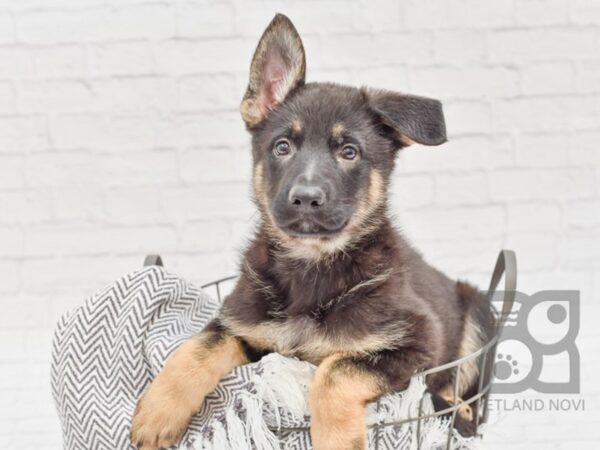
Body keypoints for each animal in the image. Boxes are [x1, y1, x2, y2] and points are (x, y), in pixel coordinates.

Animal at [134, 14, 494, 450]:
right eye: (282, 147)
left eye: (349, 152)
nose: (305, 198)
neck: (312, 264)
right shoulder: (246, 326)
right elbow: (199, 345)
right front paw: (157, 411)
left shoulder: (419, 342)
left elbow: (335, 369)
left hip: (477, 311)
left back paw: (460, 412)